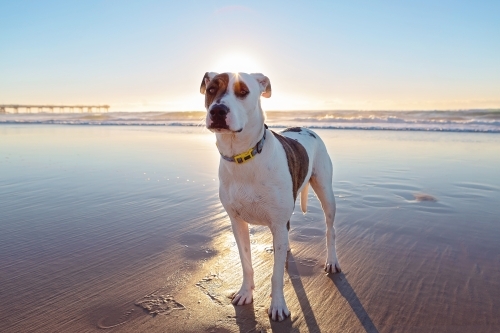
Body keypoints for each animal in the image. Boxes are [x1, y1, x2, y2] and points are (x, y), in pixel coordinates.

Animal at [199, 71, 340, 320]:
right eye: (211, 89)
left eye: (243, 91)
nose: (217, 111)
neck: (243, 156)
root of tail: (304, 128)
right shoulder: (237, 222)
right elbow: (246, 262)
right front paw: (245, 293)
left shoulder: (276, 221)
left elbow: (276, 275)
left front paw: (278, 306)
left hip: (325, 191)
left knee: (329, 229)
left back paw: (331, 261)